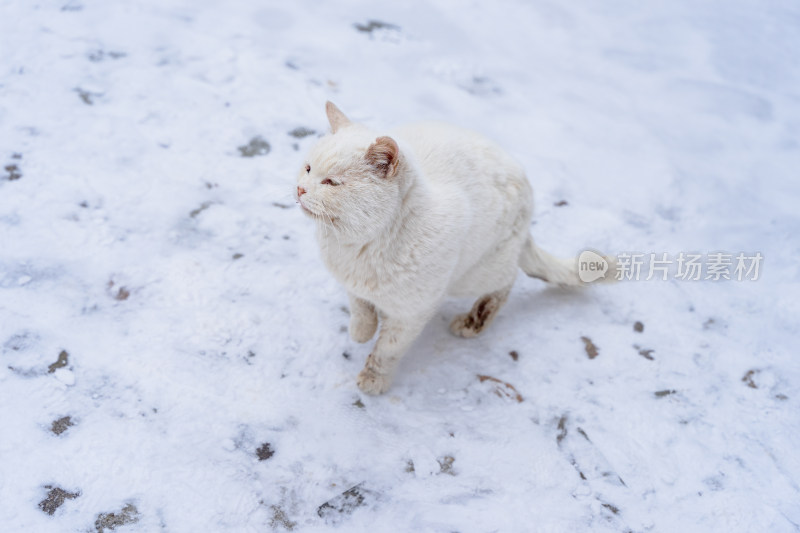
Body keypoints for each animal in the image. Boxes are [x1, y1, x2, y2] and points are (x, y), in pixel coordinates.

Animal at [296, 102, 592, 392]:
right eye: (308, 168)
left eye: (331, 182)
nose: (300, 189)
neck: (358, 245)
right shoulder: (352, 283)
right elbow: (360, 308)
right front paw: (361, 331)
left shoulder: (413, 311)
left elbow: (388, 349)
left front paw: (373, 378)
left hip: (475, 273)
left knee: (507, 282)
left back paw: (474, 321)